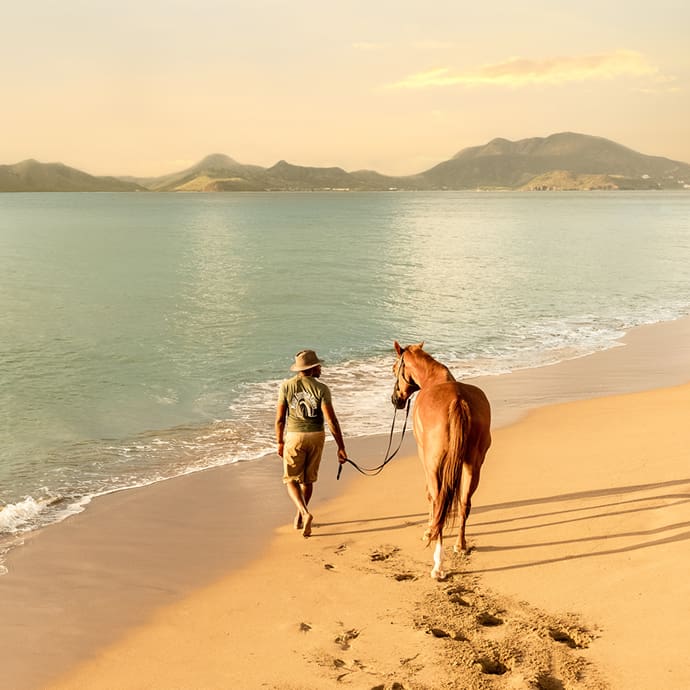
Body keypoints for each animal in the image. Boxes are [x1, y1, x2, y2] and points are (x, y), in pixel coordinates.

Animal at [391, 341, 491, 580]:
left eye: (393, 369)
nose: (395, 400)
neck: (434, 380)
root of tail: (458, 400)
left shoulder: (425, 460)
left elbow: (429, 496)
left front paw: (428, 532)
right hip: (473, 466)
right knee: (464, 503)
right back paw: (461, 545)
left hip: (435, 465)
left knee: (440, 504)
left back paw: (438, 564)